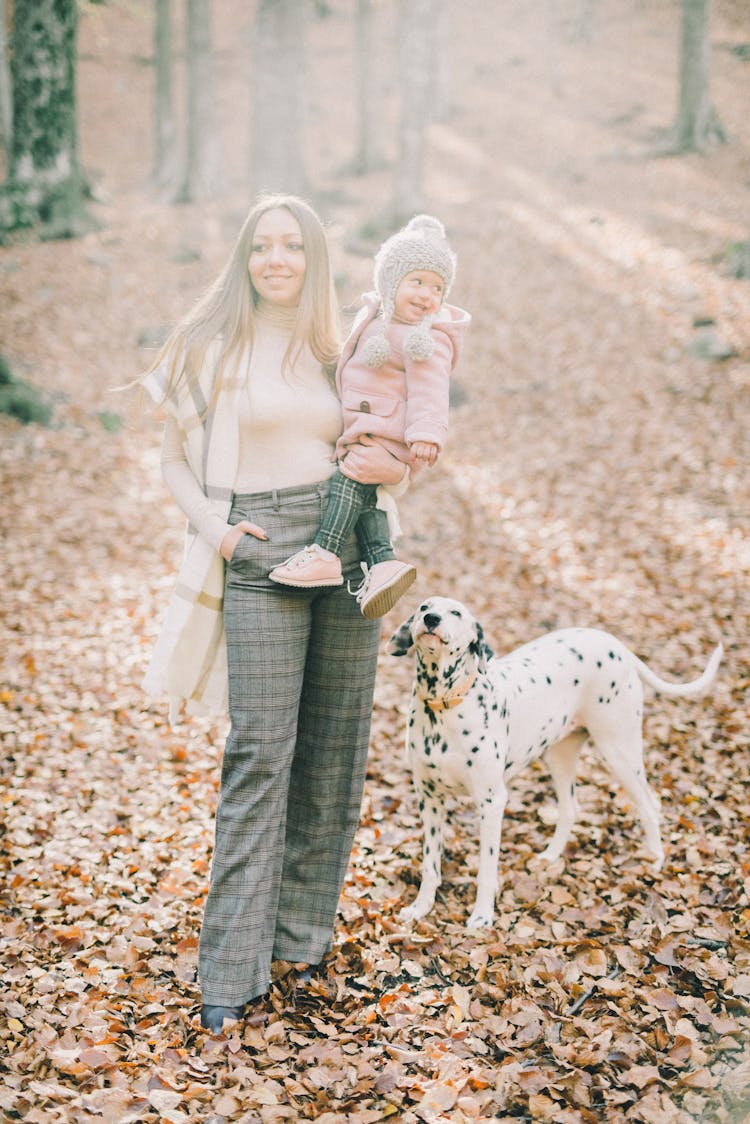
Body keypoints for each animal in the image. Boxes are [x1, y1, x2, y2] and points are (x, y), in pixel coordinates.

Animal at [386, 597, 719, 930]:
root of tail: (618, 646)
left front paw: (482, 915)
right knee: (571, 809)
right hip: (560, 757)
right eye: (423, 606)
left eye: (456, 612)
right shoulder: (429, 800)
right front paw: (420, 908)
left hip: (619, 751)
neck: (444, 706)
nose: (431, 619)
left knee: (650, 805)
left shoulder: (491, 802)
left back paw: (655, 861)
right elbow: (430, 866)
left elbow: (486, 869)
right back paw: (551, 855)